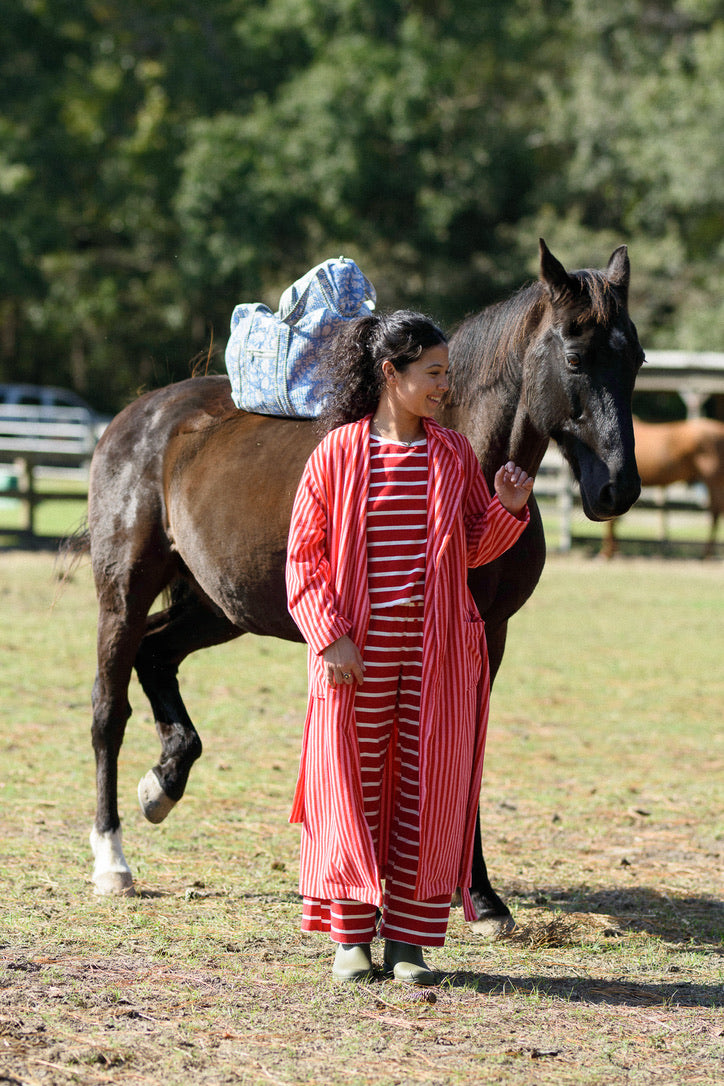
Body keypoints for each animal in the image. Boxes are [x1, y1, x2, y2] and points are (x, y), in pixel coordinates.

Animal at [86, 240, 646, 933]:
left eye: (636, 359)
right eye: (574, 357)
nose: (618, 488)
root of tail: (140, 414)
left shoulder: (487, 635)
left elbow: (464, 756)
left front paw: (478, 896)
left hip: (220, 606)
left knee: (156, 656)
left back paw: (162, 784)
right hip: (124, 594)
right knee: (109, 709)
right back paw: (112, 860)